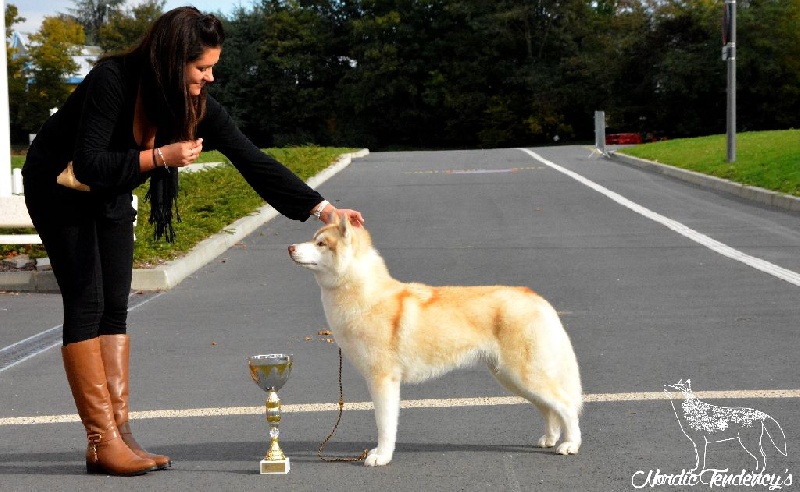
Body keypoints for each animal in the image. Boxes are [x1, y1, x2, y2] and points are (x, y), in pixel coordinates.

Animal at [288, 217, 580, 468]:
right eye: (313, 238)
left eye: (321, 243)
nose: (290, 247)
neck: (366, 296)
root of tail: (536, 298)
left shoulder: (383, 380)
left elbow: (384, 424)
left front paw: (381, 456)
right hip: (512, 378)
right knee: (549, 409)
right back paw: (550, 439)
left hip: (524, 374)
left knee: (565, 405)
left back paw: (570, 445)